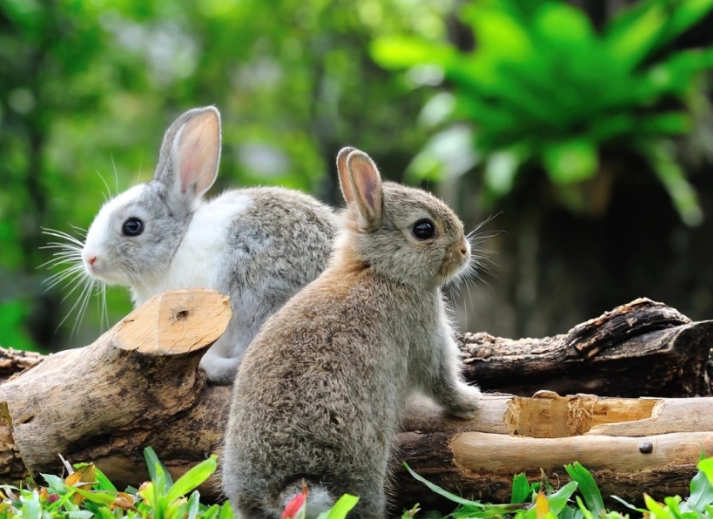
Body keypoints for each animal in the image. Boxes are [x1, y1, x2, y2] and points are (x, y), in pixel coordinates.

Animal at [222, 146, 481, 519]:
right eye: (423, 229)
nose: (464, 250)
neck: (379, 270)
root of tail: (288, 486)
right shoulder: (425, 336)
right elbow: (441, 381)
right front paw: (471, 403)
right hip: (364, 472)